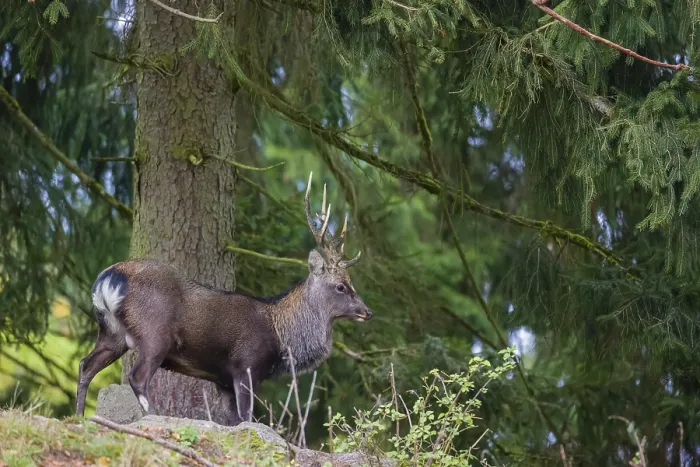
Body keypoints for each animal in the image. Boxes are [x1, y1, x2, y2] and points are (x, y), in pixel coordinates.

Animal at [75, 172, 372, 425]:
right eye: (341, 286)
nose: (367, 311)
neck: (281, 337)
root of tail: (108, 278)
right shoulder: (246, 367)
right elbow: (247, 418)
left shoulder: (223, 380)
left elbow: (234, 421)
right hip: (154, 332)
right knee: (137, 377)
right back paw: (155, 415)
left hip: (112, 332)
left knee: (85, 365)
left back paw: (78, 416)